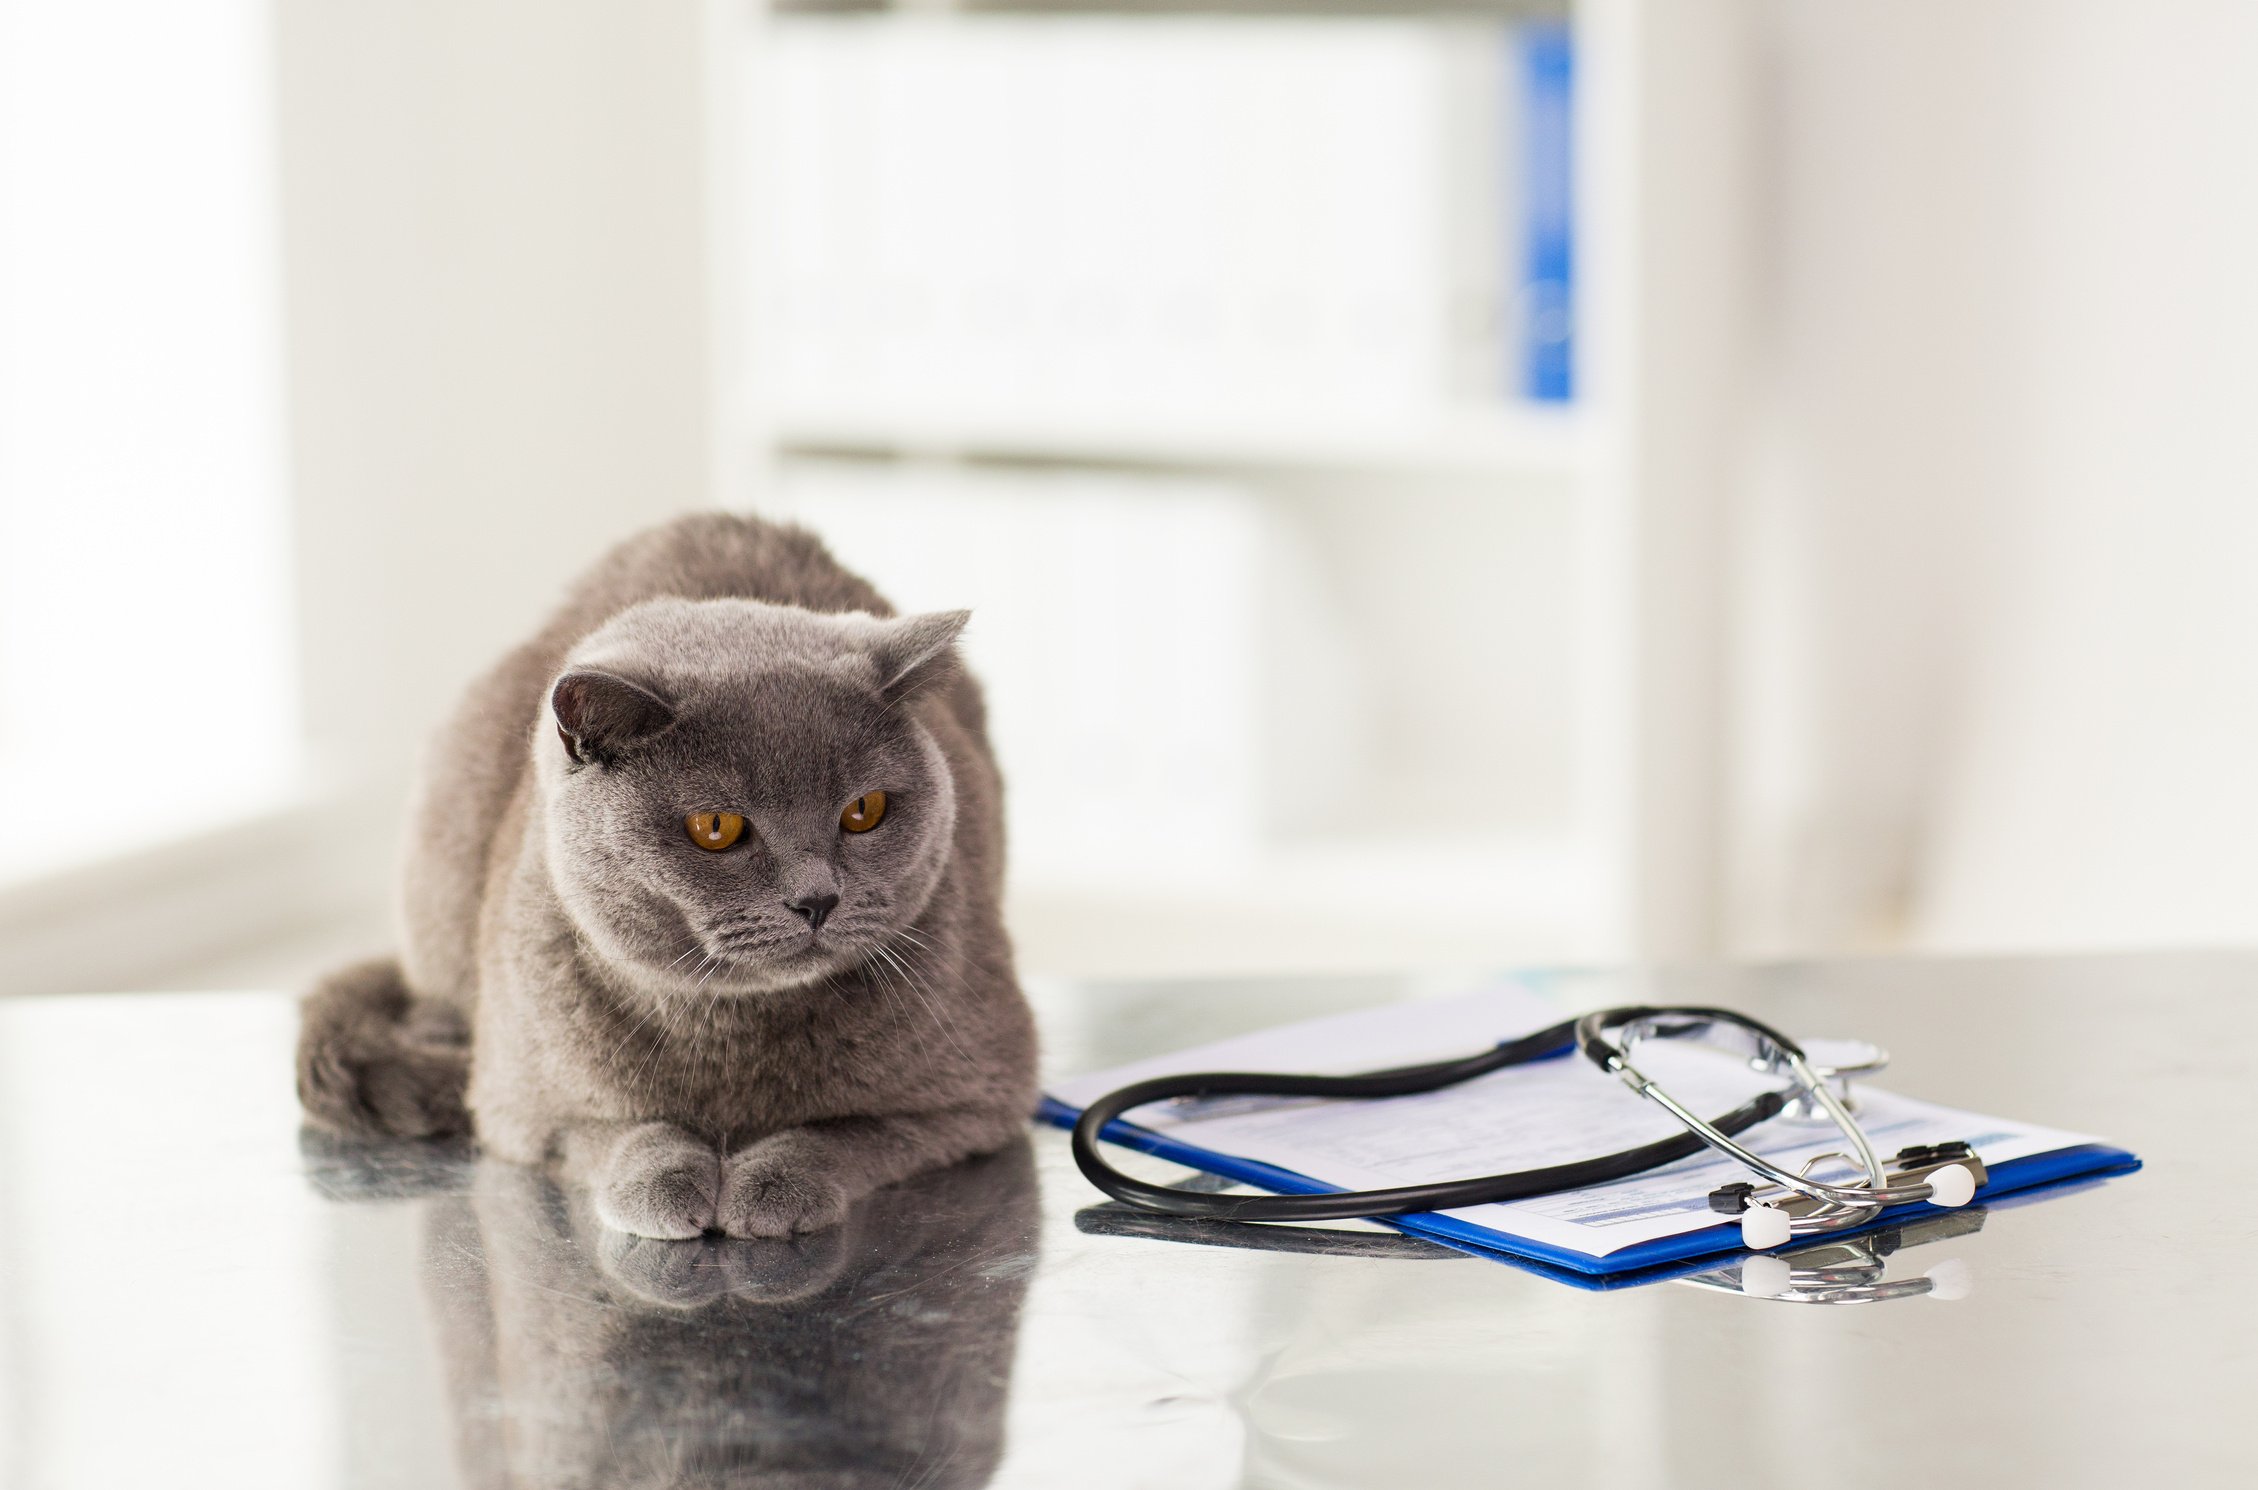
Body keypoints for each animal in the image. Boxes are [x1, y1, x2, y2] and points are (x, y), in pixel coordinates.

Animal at [295, 512, 1034, 1237]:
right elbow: (617, 1132)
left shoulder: (981, 1094)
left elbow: (852, 1133)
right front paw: (666, 1180)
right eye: (716, 827)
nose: (818, 898)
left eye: (864, 810)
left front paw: (773, 1183)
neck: (728, 1037)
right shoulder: (517, 1105)